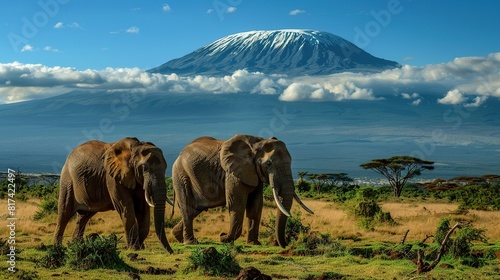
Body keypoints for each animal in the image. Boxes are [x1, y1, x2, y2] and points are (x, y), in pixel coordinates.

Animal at [172, 133, 312, 247]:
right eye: (268, 164)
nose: (287, 243)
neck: (257, 143)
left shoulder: (254, 173)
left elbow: (256, 205)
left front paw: (254, 243)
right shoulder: (233, 173)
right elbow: (237, 204)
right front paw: (226, 239)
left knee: (196, 209)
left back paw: (178, 237)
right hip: (181, 175)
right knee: (188, 207)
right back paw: (190, 242)